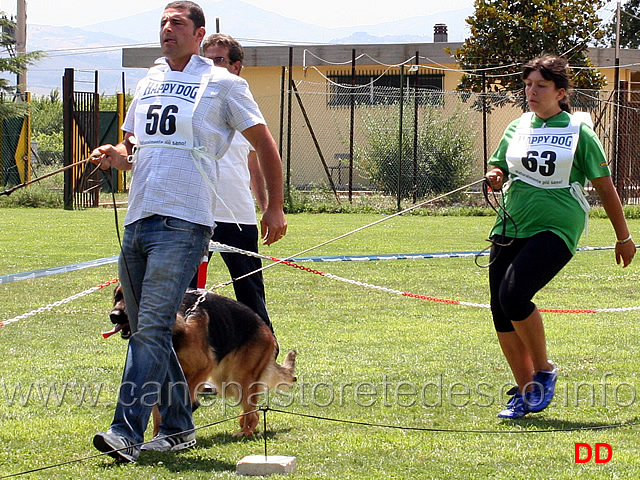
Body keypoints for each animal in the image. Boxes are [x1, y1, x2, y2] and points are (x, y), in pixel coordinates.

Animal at [105, 284, 298, 438]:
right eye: (117, 297)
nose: (113, 316)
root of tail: (267, 330)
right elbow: (158, 412)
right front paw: (158, 436)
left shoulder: (203, 366)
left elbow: (184, 392)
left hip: (239, 379)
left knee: (254, 412)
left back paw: (245, 432)